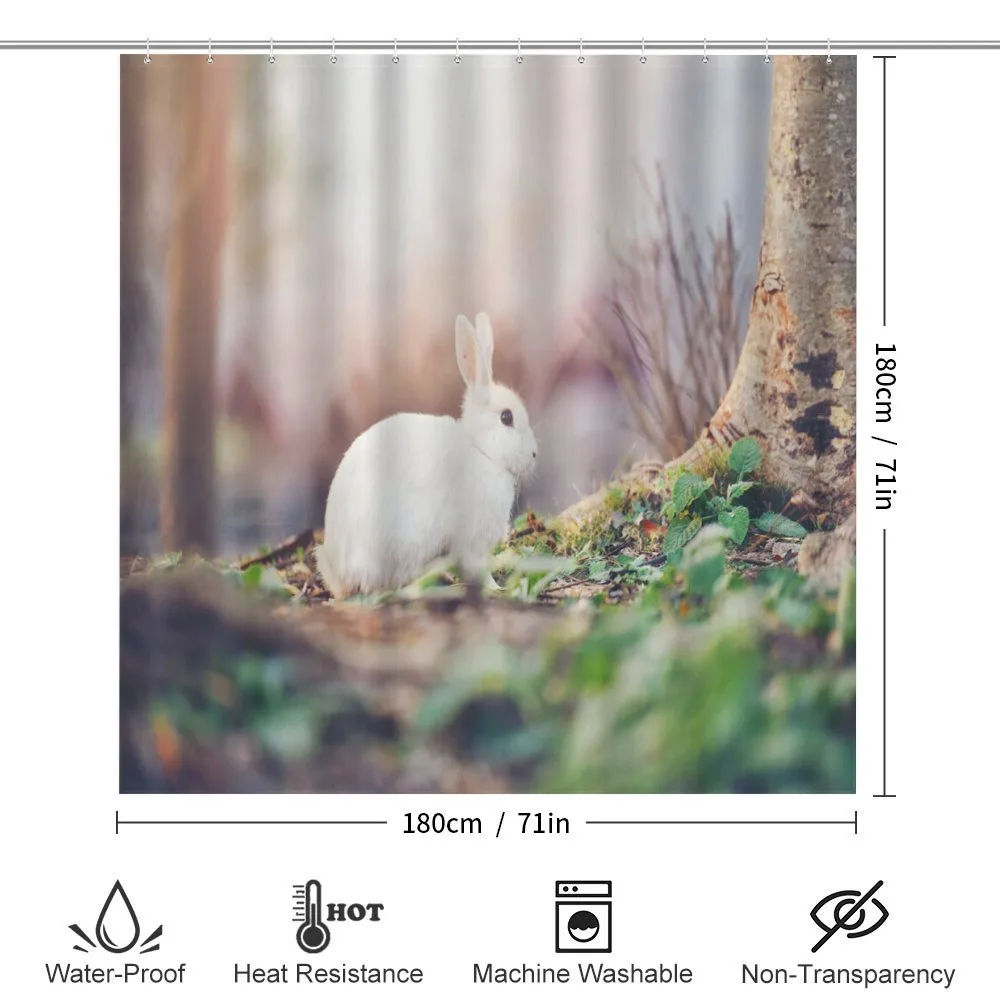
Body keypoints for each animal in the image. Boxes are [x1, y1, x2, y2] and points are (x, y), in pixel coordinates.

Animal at [315, 312, 537, 598]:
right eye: (506, 418)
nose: (534, 454)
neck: (481, 451)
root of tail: (340, 577)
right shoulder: (472, 542)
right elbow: (478, 569)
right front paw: (497, 588)